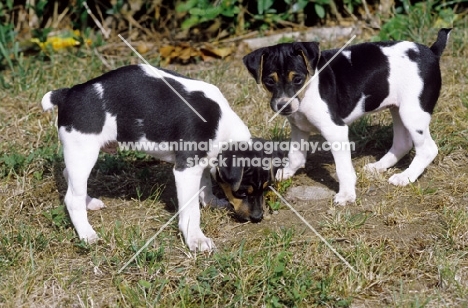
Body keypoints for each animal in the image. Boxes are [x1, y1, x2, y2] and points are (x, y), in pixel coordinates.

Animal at [243, 28, 452, 205]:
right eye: (269, 81)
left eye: (297, 79)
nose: (283, 106)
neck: (309, 88)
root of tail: (432, 51)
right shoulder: (299, 128)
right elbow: (295, 156)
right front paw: (285, 173)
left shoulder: (335, 131)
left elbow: (342, 169)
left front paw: (346, 195)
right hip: (398, 109)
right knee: (403, 143)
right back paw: (379, 166)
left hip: (412, 114)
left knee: (427, 149)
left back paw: (405, 177)